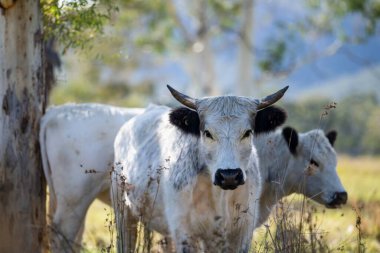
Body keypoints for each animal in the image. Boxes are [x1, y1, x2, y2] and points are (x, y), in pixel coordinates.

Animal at [112, 86, 288, 252]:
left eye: (247, 132)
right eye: (208, 133)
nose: (229, 176)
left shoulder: (242, 232)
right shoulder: (184, 232)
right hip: (123, 214)